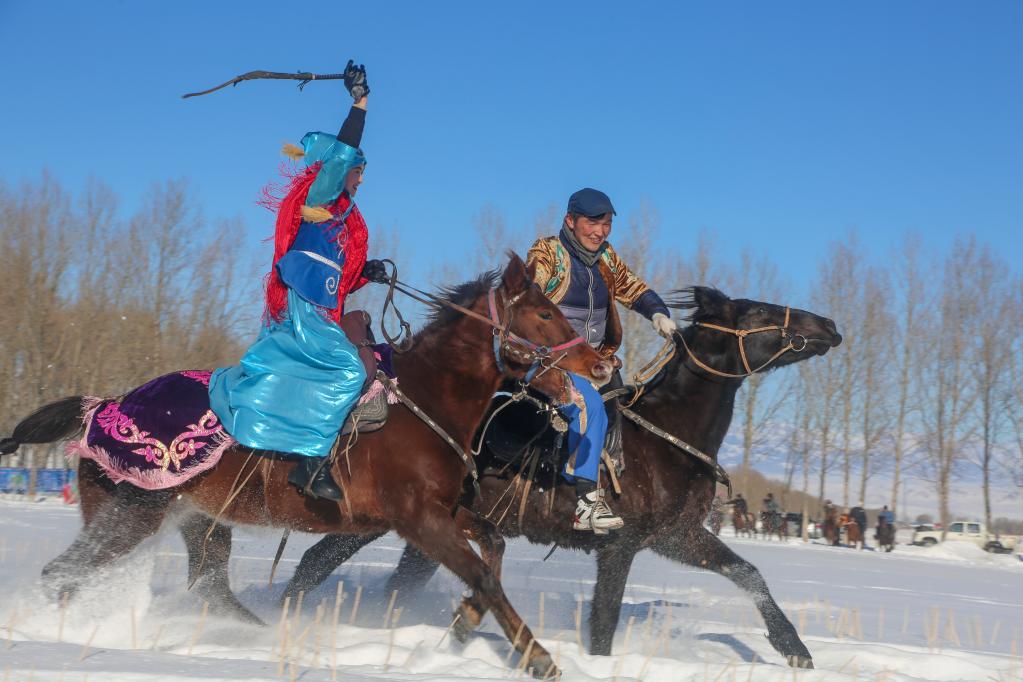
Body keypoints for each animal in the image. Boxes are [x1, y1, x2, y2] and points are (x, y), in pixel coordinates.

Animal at [0, 254, 605, 678]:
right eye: (545, 313)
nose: (600, 363)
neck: (426, 401)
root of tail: (101, 408)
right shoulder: (418, 519)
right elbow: (480, 570)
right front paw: (538, 657)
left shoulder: (443, 512)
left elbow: (493, 550)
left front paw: (467, 621)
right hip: (130, 516)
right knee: (64, 575)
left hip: (200, 522)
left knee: (208, 585)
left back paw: (260, 633)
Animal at [276, 286, 842, 666]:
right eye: (761, 312)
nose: (829, 327)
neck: (664, 436)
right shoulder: (622, 546)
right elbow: (604, 621)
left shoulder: (676, 536)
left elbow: (749, 574)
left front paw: (793, 647)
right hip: (380, 517)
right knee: (313, 562)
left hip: (426, 533)